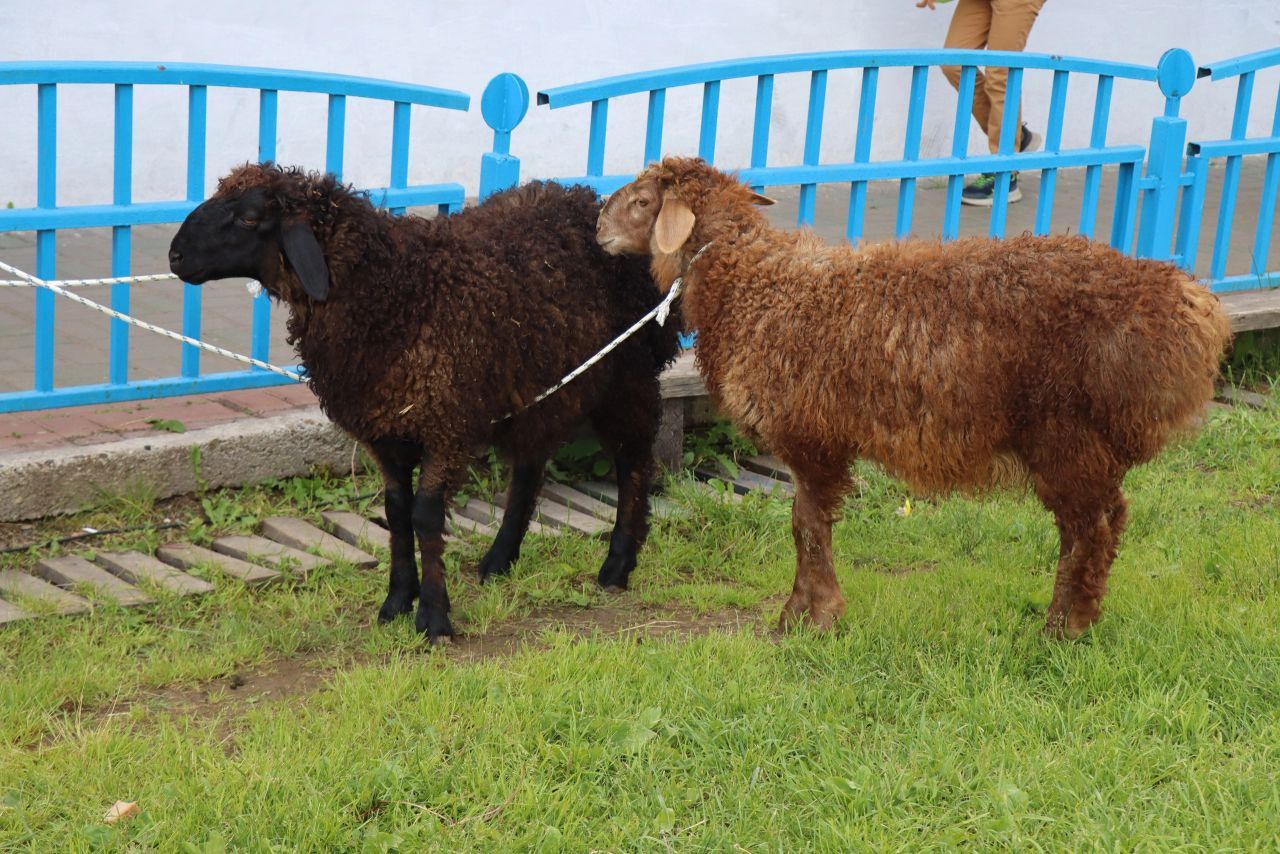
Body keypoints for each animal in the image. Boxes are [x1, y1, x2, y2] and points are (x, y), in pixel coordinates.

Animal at [596, 158, 1228, 640]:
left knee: (1091, 527)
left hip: (1065, 433)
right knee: (1102, 522)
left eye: (643, 200)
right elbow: (808, 525)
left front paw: (811, 617)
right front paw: (805, 611)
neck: (754, 285)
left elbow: (807, 525)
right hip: (1082, 443)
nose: (598, 225)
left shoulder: (810, 436)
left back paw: (1062, 628)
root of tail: (1183, 306)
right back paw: (1077, 618)